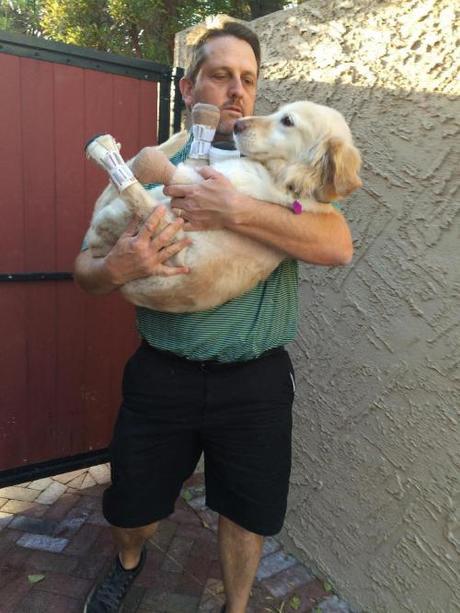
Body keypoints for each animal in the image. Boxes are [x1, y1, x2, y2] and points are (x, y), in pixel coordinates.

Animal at [85, 101, 360, 310]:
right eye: (278, 112)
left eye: (288, 121)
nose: (237, 125)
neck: (290, 182)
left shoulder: (199, 187)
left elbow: (165, 172)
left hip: (165, 229)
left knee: (127, 189)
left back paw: (106, 151)